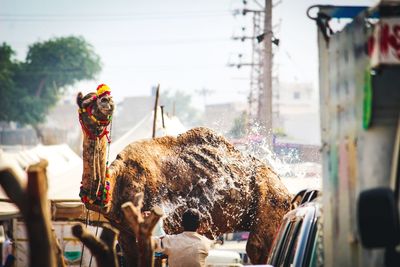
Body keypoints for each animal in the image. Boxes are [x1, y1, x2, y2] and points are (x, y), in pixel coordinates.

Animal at [76, 85, 292, 266]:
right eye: (87, 102)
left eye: (104, 97)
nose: (107, 102)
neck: (116, 182)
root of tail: (286, 189)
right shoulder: (123, 230)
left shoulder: (161, 222)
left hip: (271, 203)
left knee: (257, 248)